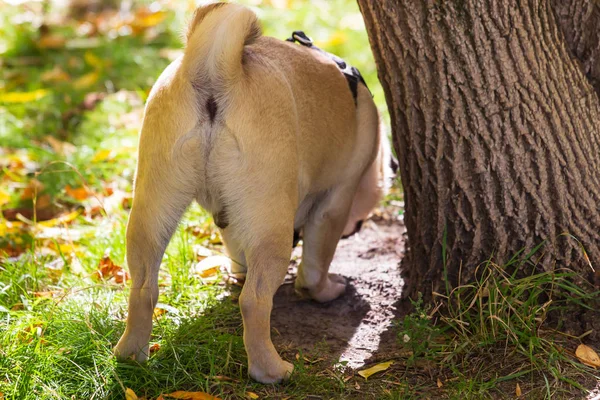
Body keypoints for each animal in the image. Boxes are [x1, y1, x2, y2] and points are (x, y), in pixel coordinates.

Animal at [114, 2, 392, 384]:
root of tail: (217, 72)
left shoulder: (229, 216)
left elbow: (235, 246)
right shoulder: (336, 200)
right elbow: (315, 266)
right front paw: (326, 291)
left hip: (153, 207)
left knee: (142, 288)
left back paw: (130, 355)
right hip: (270, 225)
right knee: (255, 301)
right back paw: (271, 369)